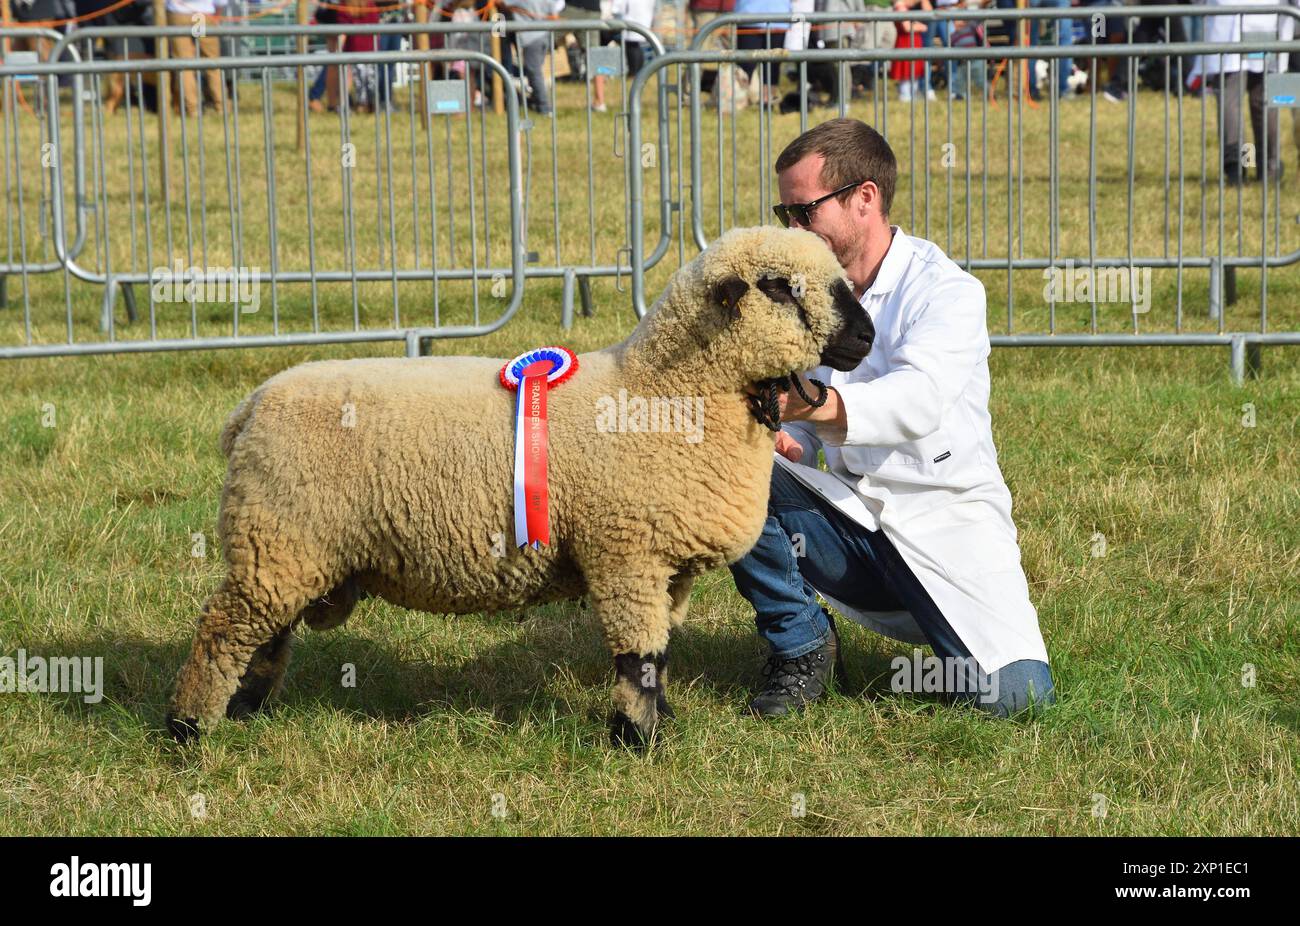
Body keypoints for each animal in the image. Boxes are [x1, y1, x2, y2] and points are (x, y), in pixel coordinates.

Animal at [162, 227, 873, 749]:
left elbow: (660, 654)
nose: (865, 336)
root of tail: (250, 407)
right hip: (278, 536)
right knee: (223, 630)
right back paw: (187, 729)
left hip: (289, 547)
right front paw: (636, 740)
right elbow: (637, 654)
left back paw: (244, 712)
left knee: (263, 635)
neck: (663, 394)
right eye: (778, 287)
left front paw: (659, 723)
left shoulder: (668, 570)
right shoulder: (626, 556)